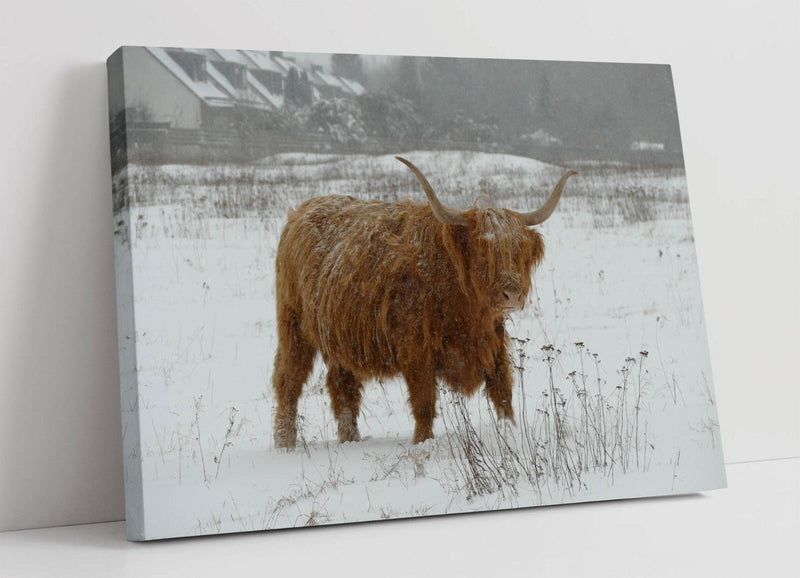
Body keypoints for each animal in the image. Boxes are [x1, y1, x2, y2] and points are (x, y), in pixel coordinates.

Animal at [272, 156, 577, 448]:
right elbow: (424, 402)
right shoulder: (416, 349)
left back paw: (350, 439)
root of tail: (300, 212)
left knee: (342, 386)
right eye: (482, 251)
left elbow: (502, 393)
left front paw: (509, 432)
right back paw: (285, 441)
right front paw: (422, 442)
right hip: (293, 326)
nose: (512, 294)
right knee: (289, 380)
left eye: (518, 250)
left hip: (340, 334)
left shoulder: (493, 342)